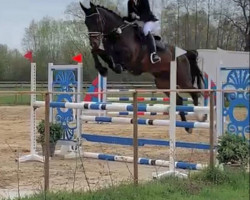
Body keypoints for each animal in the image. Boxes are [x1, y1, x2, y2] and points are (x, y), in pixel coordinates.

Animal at [79, 2, 205, 133]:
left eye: (98, 20)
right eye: (86, 22)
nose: (93, 42)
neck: (118, 34)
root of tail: (184, 54)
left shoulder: (129, 58)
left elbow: (113, 59)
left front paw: (112, 67)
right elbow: (96, 51)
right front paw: (102, 69)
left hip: (182, 80)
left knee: (195, 92)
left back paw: (201, 116)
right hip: (163, 83)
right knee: (179, 100)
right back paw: (187, 127)